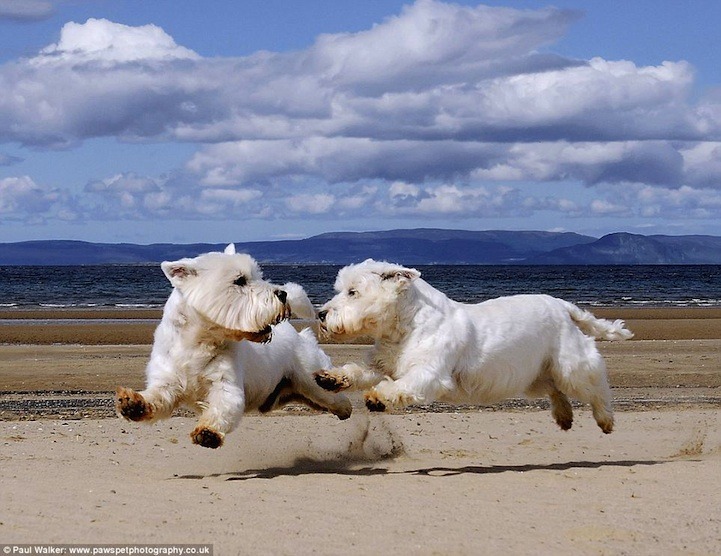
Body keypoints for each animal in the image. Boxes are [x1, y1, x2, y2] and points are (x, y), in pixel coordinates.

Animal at [115, 245, 352, 450]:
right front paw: (132, 404)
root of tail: (296, 334)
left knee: (336, 397)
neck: (197, 343)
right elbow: (156, 398)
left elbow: (223, 406)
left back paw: (338, 391)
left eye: (257, 275)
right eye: (240, 280)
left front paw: (208, 432)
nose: (282, 294)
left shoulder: (226, 384)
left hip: (310, 378)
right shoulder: (167, 382)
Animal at [316, 260, 632, 434]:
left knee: (595, 386)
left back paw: (605, 420)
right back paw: (564, 417)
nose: (321, 314)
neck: (406, 324)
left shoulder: (429, 373)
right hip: (537, 372)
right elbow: (358, 370)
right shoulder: (382, 362)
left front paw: (376, 397)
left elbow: (400, 386)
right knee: (555, 389)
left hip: (570, 365)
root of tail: (562, 305)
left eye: (353, 292)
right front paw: (330, 377)